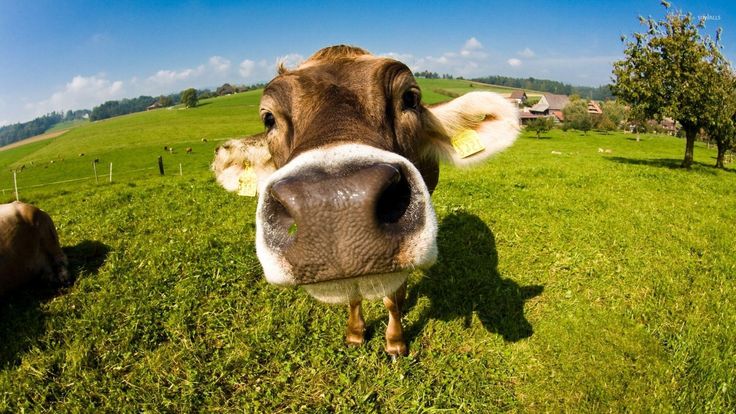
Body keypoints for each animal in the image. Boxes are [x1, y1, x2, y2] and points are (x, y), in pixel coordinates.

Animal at [210, 44, 516, 356]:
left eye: (410, 97)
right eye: (268, 118)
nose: (333, 204)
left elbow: (392, 297)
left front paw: (395, 341)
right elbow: (353, 296)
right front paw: (355, 333)